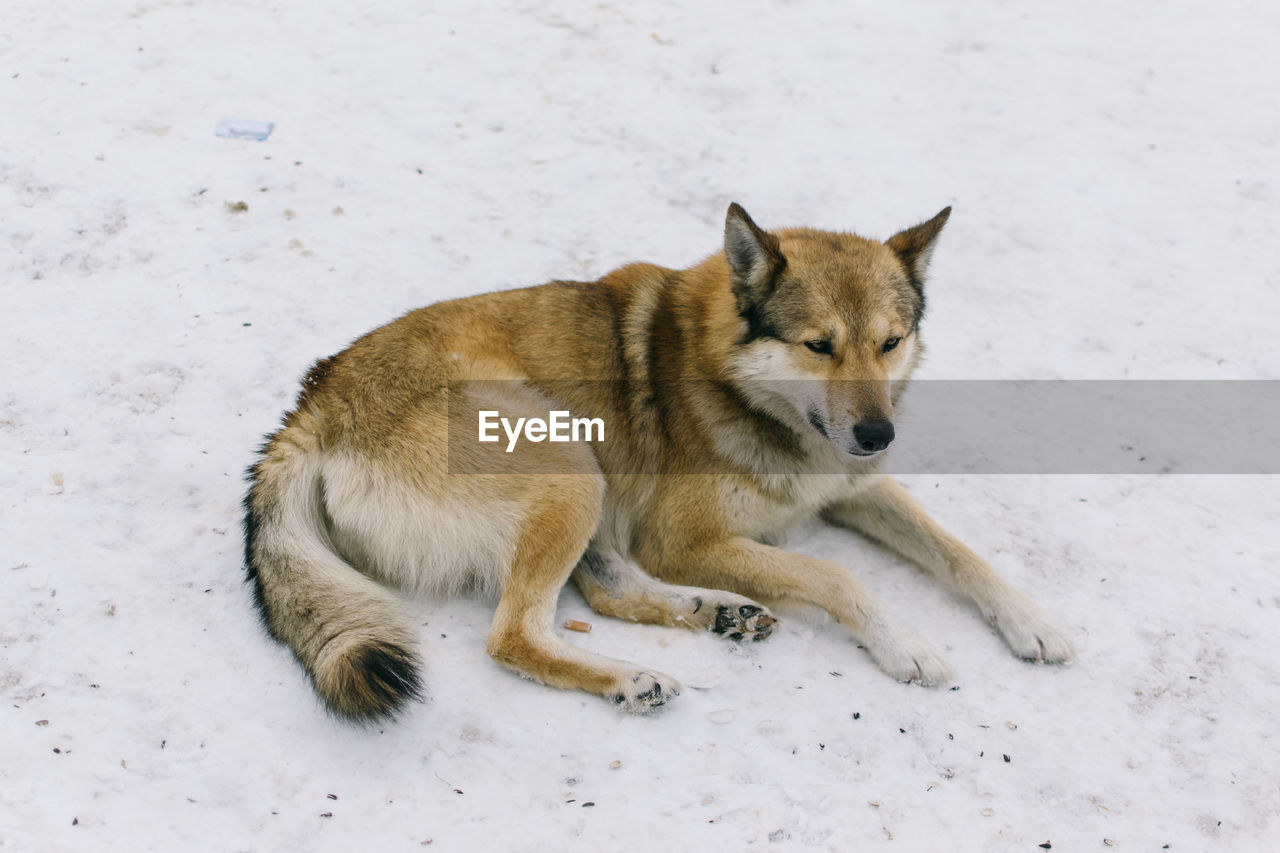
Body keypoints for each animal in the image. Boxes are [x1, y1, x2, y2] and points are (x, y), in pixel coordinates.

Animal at [240, 201, 1070, 717]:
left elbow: (957, 550)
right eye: (819, 345)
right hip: (569, 464)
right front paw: (908, 645)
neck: (744, 390)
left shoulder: (853, 486)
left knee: (606, 591)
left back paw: (717, 612)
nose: (878, 434)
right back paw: (634, 677)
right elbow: (837, 574)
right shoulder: (683, 539)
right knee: (515, 635)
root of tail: (313, 402)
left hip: (586, 482)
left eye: (890, 342)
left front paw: (1031, 620)